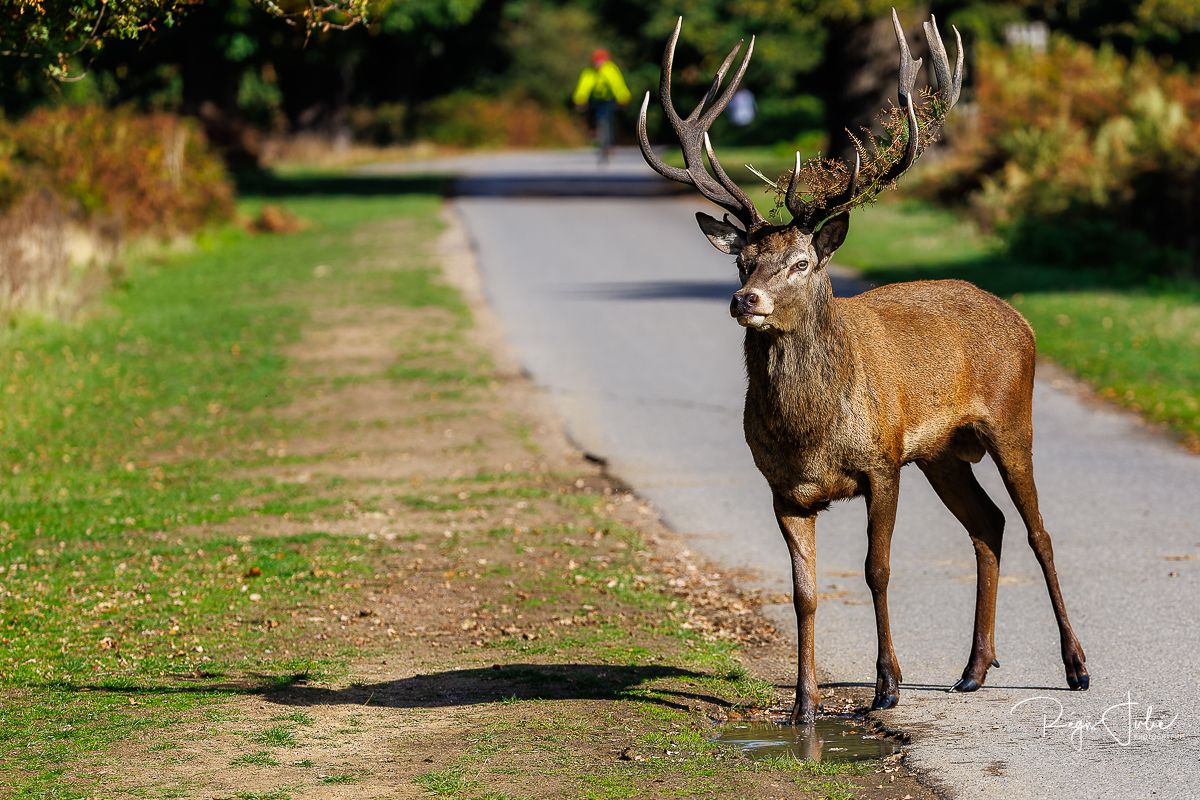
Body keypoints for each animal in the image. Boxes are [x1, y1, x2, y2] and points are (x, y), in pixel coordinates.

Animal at [643, 9, 1094, 724]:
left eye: (802, 262)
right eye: (743, 261)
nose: (745, 301)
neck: (812, 435)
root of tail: (1019, 318)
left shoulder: (881, 463)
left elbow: (875, 570)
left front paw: (886, 686)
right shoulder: (784, 490)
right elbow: (803, 593)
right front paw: (803, 705)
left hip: (1010, 418)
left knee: (1037, 531)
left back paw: (1076, 667)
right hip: (941, 453)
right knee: (989, 524)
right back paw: (973, 670)